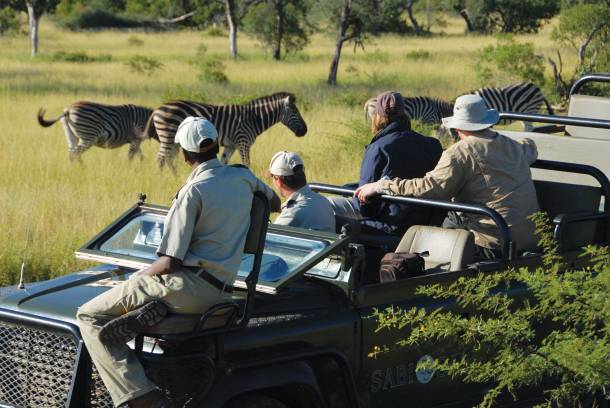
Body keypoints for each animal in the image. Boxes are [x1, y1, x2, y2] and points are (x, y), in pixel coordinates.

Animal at [144, 91, 306, 170]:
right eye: (295, 112)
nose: (305, 131)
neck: (254, 118)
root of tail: (158, 108)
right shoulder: (243, 141)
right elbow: (247, 163)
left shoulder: (231, 145)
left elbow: (223, 162)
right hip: (168, 135)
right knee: (160, 159)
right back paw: (160, 177)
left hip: (174, 140)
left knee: (169, 159)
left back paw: (174, 177)